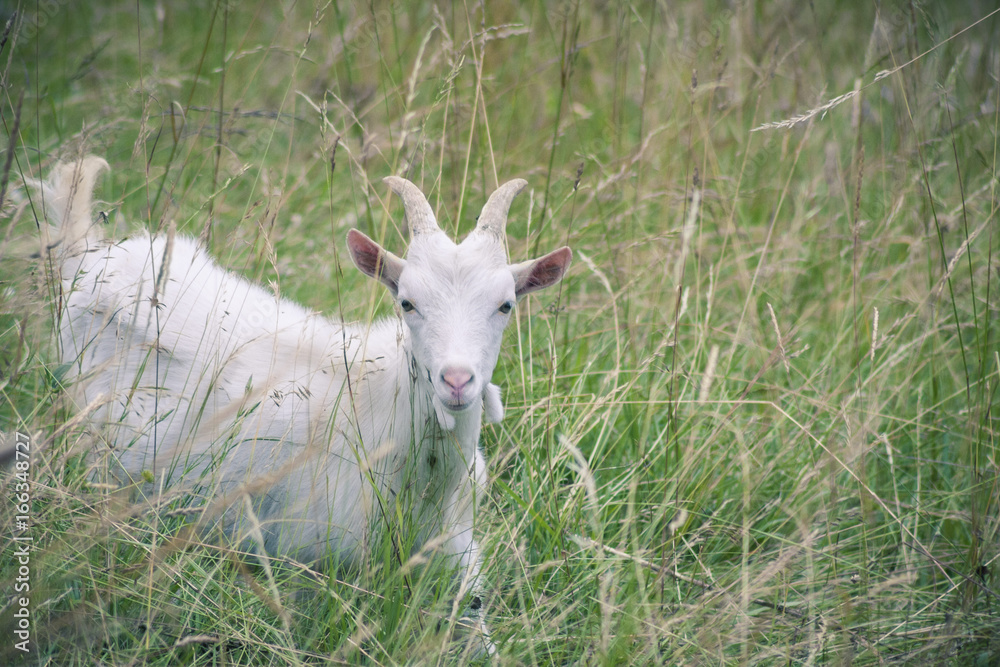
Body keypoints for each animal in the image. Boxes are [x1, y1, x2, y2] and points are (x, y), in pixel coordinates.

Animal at [43, 155, 572, 652]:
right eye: (407, 302)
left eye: (505, 305)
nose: (457, 380)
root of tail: (93, 256)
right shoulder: (306, 566)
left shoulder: (458, 563)